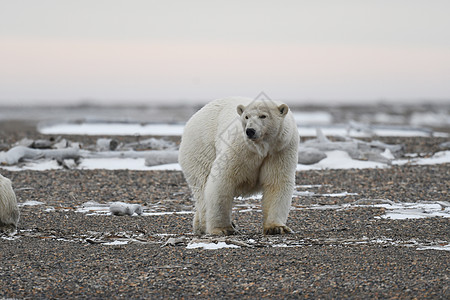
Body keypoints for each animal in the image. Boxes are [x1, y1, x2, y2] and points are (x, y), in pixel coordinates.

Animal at [179, 97, 298, 236]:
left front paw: (276, 227)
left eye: (263, 116)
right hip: (201, 148)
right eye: (246, 116)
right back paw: (205, 225)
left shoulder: (281, 150)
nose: (250, 130)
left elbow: (277, 183)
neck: (261, 148)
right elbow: (222, 180)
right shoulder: (239, 149)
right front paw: (223, 228)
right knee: (202, 186)